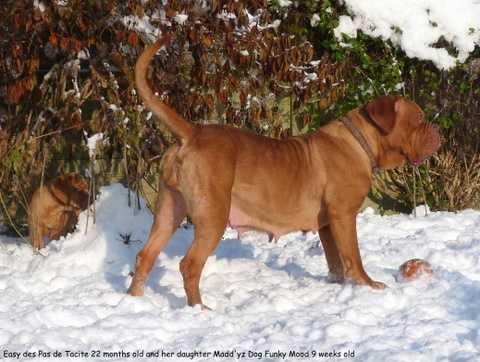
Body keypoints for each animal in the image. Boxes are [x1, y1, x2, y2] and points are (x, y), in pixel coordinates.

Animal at [126, 35, 438, 308]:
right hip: (213, 215)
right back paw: (199, 309)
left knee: (145, 256)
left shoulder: (327, 225)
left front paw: (337, 284)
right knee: (189, 265)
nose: (438, 132)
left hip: (169, 210)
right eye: (419, 119)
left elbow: (335, 261)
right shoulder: (343, 216)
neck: (362, 141)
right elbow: (353, 256)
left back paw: (133, 300)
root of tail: (192, 133)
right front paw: (368, 285)